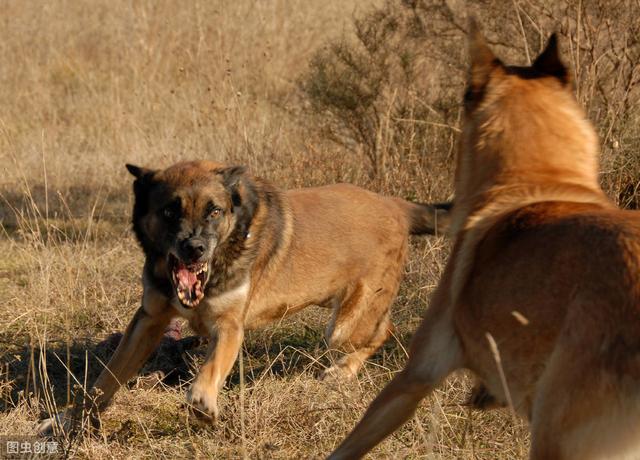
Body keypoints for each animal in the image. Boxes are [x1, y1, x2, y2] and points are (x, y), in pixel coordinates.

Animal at [38, 159, 450, 434]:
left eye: (214, 211)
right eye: (170, 211)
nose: (195, 249)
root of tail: (396, 205)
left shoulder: (229, 326)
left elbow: (208, 371)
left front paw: (202, 404)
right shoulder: (149, 320)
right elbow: (104, 380)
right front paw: (65, 421)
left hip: (344, 326)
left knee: (384, 331)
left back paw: (341, 372)